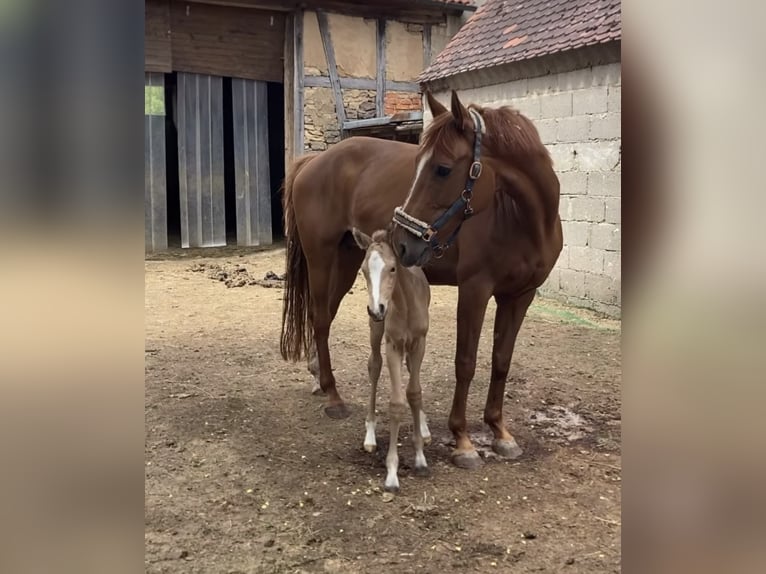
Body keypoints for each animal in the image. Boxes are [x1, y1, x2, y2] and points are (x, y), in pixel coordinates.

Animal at [352, 228, 431, 492]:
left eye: (393, 268)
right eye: (363, 270)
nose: (377, 309)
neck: (406, 304)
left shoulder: (419, 343)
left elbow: (415, 393)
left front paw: (420, 457)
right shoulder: (392, 345)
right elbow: (397, 402)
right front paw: (392, 473)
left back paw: (424, 428)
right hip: (376, 332)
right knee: (374, 366)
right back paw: (370, 434)